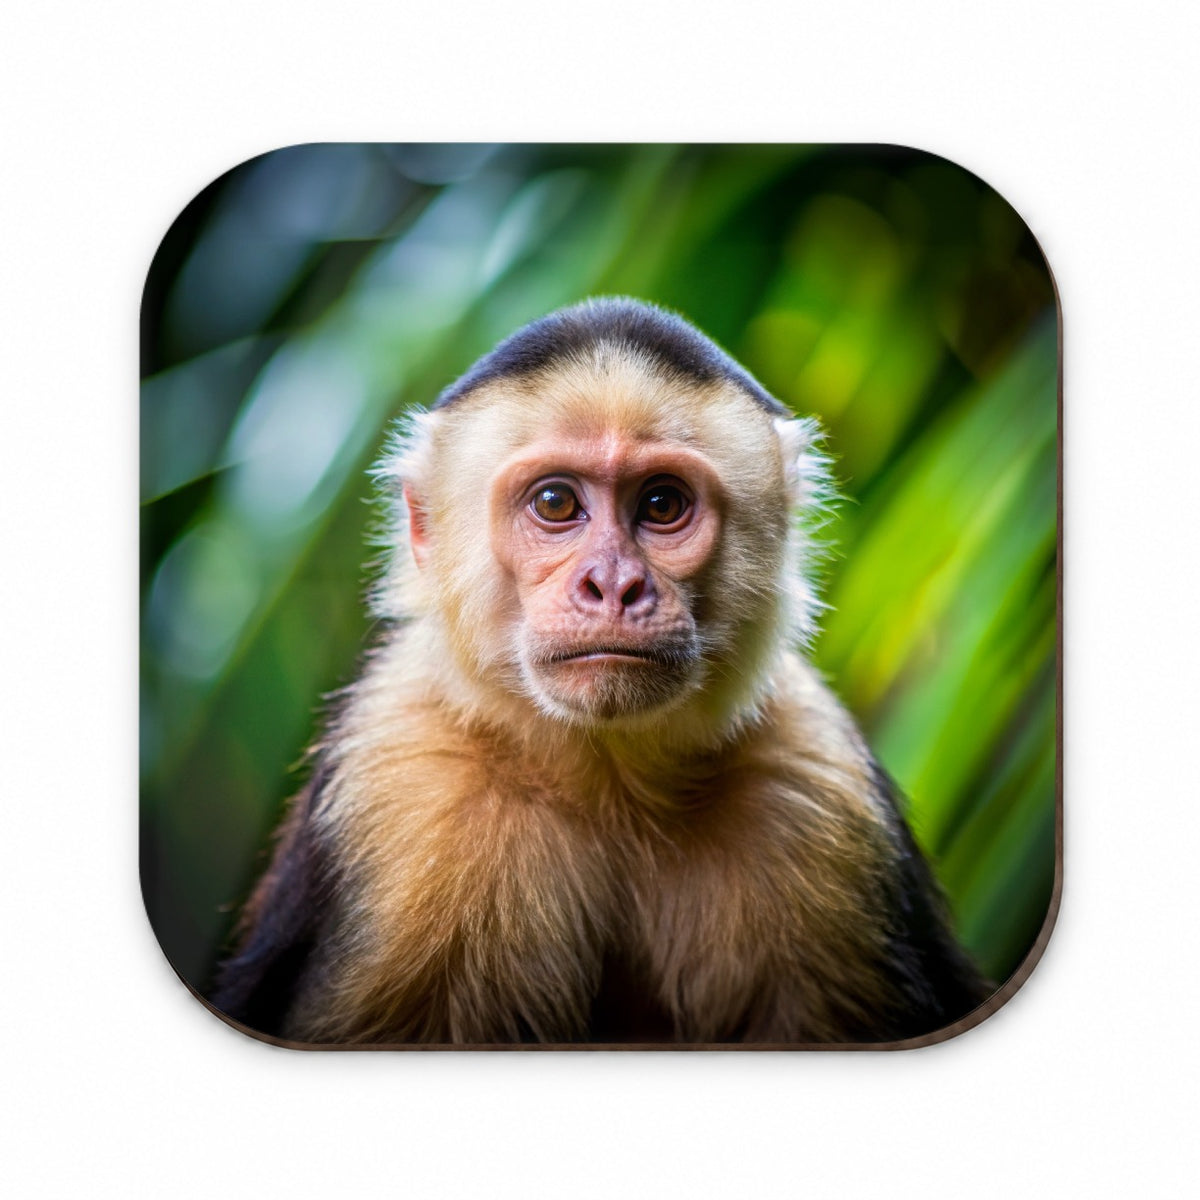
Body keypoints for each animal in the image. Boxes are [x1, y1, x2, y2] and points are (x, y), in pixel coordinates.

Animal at [212, 297, 990, 1045]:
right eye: (556, 503)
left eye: (662, 504)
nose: (613, 585)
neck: (609, 785)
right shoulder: (400, 772)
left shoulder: (817, 777)